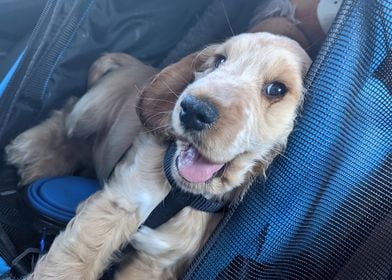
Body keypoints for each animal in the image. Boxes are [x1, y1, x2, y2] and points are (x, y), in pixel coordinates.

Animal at [5, 31, 310, 278]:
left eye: (276, 89)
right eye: (219, 61)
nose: (193, 110)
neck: (182, 194)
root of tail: (137, 65)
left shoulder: (159, 260)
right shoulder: (122, 202)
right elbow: (69, 265)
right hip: (89, 110)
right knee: (66, 117)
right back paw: (31, 154)